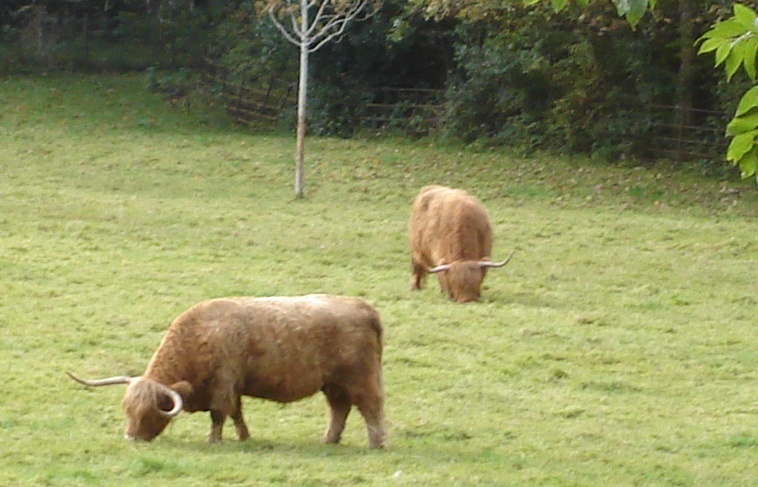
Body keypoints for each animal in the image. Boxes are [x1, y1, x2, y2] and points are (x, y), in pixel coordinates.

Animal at [67, 294, 386, 450]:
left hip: (360, 379)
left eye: (149, 413)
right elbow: (236, 413)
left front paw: (214, 441)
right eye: (127, 410)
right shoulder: (234, 387)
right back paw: (329, 440)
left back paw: (375, 443)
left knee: (370, 407)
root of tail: (363, 306)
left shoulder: (222, 385)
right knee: (339, 409)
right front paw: (244, 437)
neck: (198, 336)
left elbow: (219, 414)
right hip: (333, 384)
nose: (131, 438)